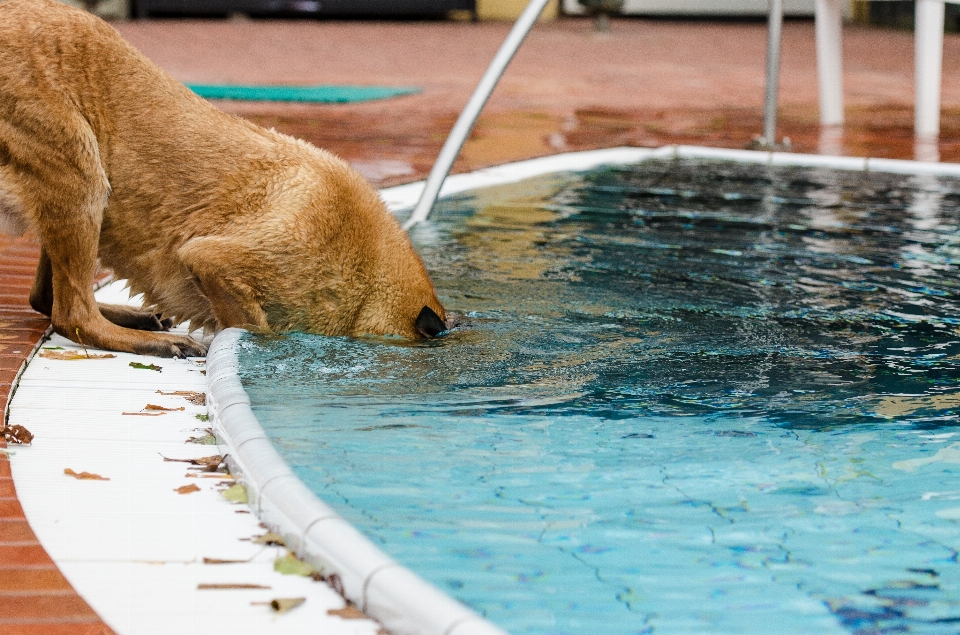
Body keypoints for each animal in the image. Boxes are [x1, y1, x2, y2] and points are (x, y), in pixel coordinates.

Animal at [0, 0, 448, 358]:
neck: (370, 275)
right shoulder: (213, 260)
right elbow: (255, 327)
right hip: (82, 177)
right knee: (71, 314)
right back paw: (152, 340)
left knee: (45, 299)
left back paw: (136, 318)